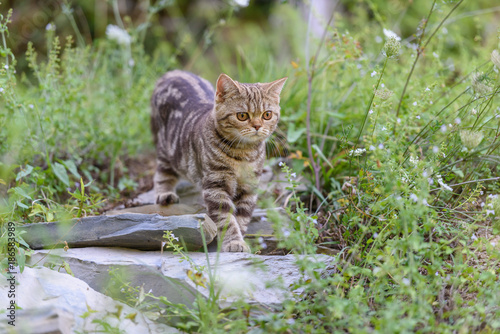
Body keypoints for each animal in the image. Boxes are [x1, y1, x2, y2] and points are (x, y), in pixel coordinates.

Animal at [150, 70, 288, 252]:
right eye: (242, 115)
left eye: (267, 114)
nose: (258, 126)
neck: (243, 154)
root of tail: (173, 73)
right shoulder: (216, 185)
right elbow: (226, 219)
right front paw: (234, 241)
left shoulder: (249, 187)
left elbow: (241, 217)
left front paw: (239, 238)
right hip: (166, 148)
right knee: (163, 173)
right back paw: (165, 193)